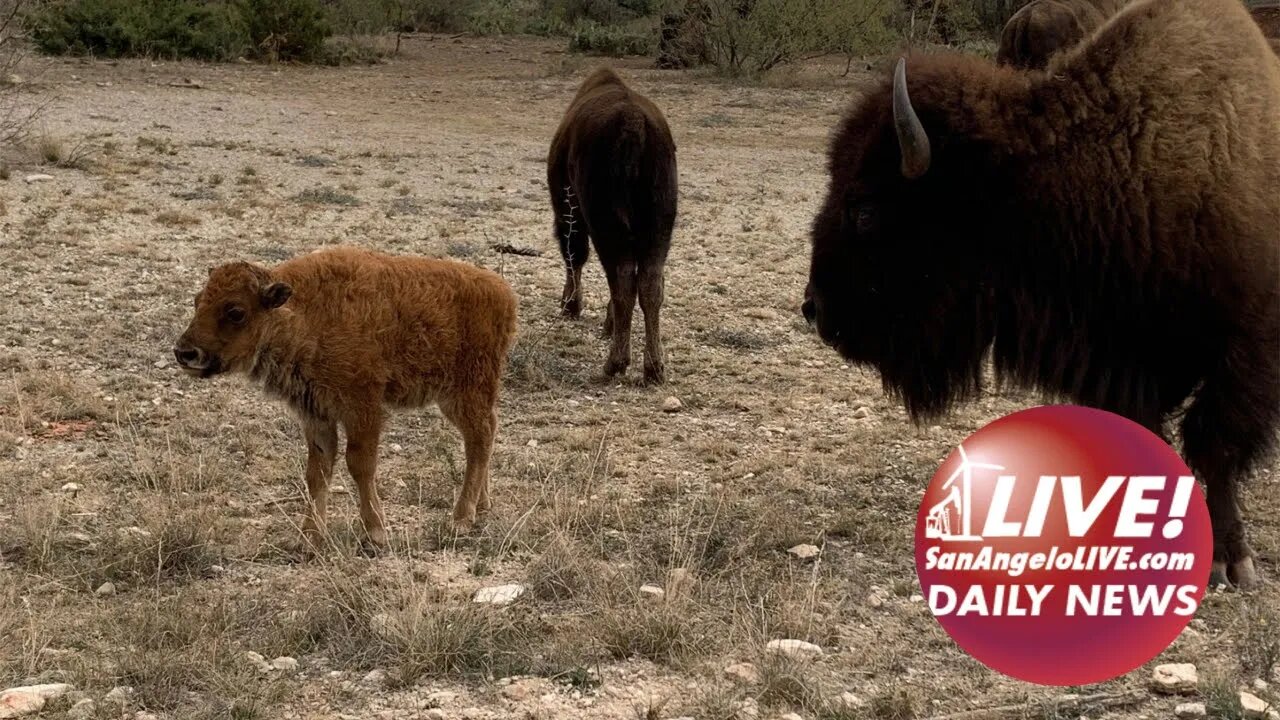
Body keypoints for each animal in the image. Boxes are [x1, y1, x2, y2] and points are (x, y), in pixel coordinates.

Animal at [172, 245, 517, 543]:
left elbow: (360, 464)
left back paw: (462, 518)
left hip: (467, 391)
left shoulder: (362, 408)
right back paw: (482, 506)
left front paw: (376, 531)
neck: (304, 313)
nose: (185, 352)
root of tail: (503, 292)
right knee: (485, 435)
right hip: (457, 397)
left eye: (235, 311)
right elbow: (318, 471)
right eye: (197, 300)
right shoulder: (316, 414)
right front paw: (310, 536)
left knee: (479, 440)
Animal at [547, 67, 680, 384]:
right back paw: (653, 368)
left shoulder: (568, 209)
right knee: (650, 284)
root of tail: (634, 124)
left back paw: (615, 364)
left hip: (606, 223)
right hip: (658, 226)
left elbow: (574, 254)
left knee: (621, 279)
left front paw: (571, 305)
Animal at [803, 0, 1274, 586]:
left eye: (865, 210)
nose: (813, 308)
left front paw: (1232, 559)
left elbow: (1216, 445)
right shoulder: (1127, 361)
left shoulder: (1246, 352)